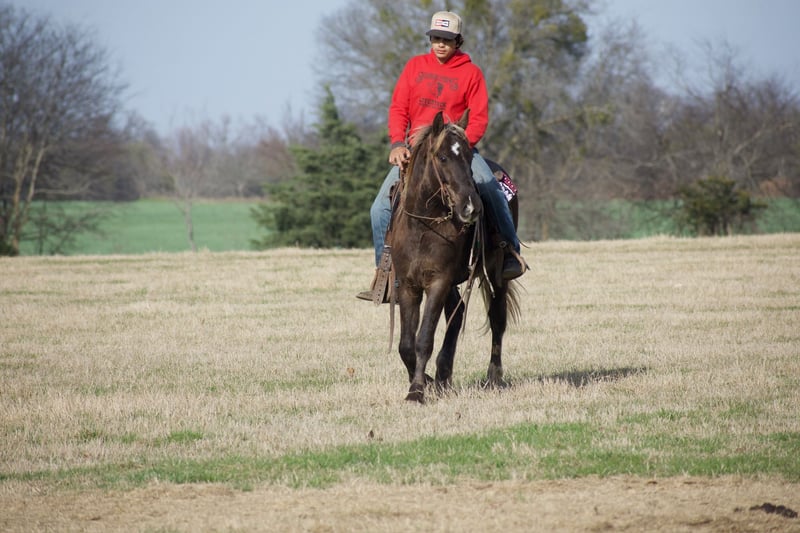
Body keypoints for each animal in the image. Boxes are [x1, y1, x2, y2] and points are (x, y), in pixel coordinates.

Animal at [388, 110, 520, 403]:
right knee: (457, 314)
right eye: (442, 157)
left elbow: (424, 338)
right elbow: (406, 344)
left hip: (495, 273)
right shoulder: (408, 285)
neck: (423, 226)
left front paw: (417, 391)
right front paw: (424, 381)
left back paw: (493, 376)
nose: (471, 207)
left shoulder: (438, 282)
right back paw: (443, 376)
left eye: (469, 156)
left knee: (497, 318)